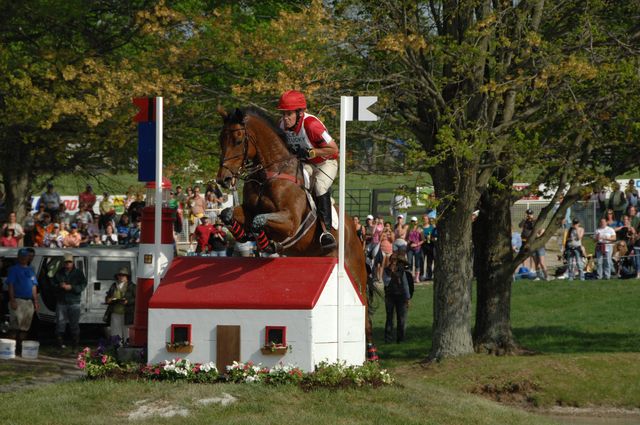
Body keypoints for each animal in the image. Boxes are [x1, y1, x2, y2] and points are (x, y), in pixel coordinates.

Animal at [216, 106, 376, 358]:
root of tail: (356, 231)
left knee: (365, 315)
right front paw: (245, 236)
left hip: (355, 272)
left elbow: (260, 221)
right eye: (220, 139)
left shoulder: (290, 222)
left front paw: (266, 243)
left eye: (238, 139)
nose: (223, 179)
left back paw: (371, 355)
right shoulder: (249, 210)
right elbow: (229, 214)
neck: (270, 172)